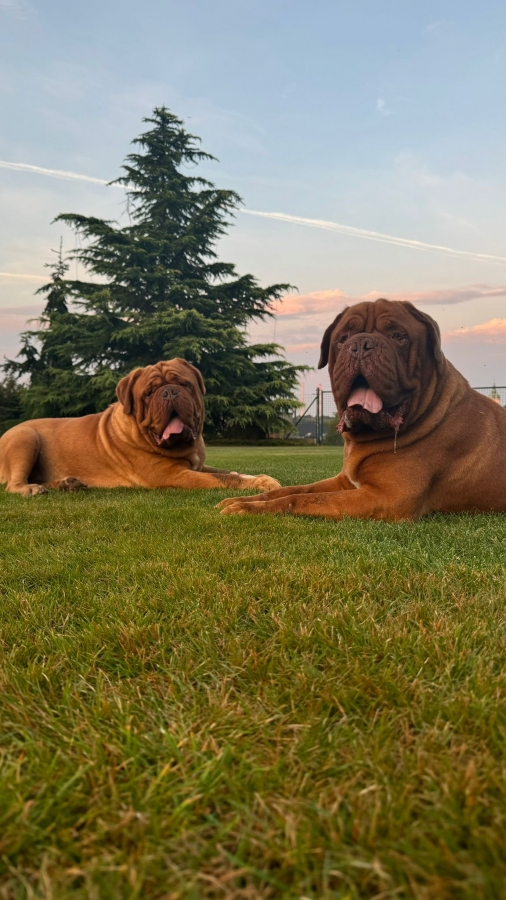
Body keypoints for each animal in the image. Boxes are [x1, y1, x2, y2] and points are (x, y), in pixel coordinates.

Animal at [0, 359, 280, 496]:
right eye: (148, 393)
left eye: (184, 384)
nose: (169, 391)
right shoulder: (173, 474)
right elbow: (222, 479)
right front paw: (260, 484)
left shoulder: (197, 466)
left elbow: (230, 472)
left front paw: (260, 478)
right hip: (25, 437)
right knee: (13, 484)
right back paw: (32, 489)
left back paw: (68, 484)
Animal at [219, 299, 506, 520]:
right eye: (342, 339)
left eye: (398, 336)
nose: (360, 345)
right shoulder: (344, 481)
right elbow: (294, 489)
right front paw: (244, 498)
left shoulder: (387, 497)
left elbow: (303, 499)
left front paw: (248, 508)